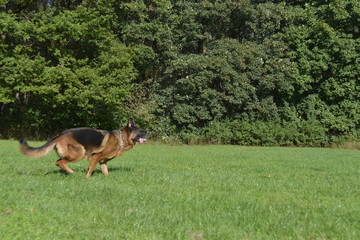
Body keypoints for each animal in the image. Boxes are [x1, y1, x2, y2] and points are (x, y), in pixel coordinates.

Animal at [17, 118, 148, 178]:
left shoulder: (103, 161)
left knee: (59, 161)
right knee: (59, 162)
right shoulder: (96, 156)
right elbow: (90, 170)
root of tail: (60, 134)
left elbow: (106, 172)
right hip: (79, 153)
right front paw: (87, 179)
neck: (121, 138)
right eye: (139, 130)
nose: (147, 131)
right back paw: (71, 172)